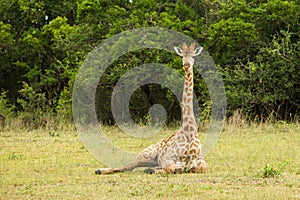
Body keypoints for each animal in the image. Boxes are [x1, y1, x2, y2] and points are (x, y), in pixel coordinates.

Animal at [95, 41, 207, 174]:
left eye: (193, 56)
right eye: (182, 56)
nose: (186, 65)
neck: (189, 131)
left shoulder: (201, 162)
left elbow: (199, 168)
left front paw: (153, 170)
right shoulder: (168, 160)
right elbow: (172, 169)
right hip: (147, 154)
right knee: (129, 166)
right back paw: (99, 170)